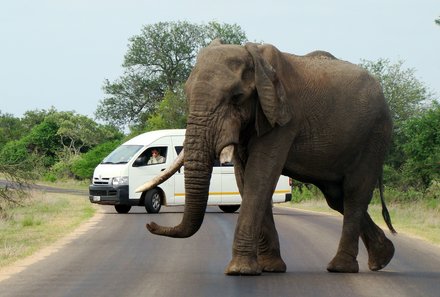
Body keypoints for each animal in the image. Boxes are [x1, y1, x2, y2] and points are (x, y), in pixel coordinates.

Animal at [139, 40, 398, 276]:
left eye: (237, 97)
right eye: (187, 95)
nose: (150, 224)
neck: (256, 58)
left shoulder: (284, 117)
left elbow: (261, 175)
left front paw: (240, 271)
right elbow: (245, 178)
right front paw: (270, 268)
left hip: (374, 135)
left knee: (354, 193)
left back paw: (341, 267)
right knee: (336, 197)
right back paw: (383, 258)